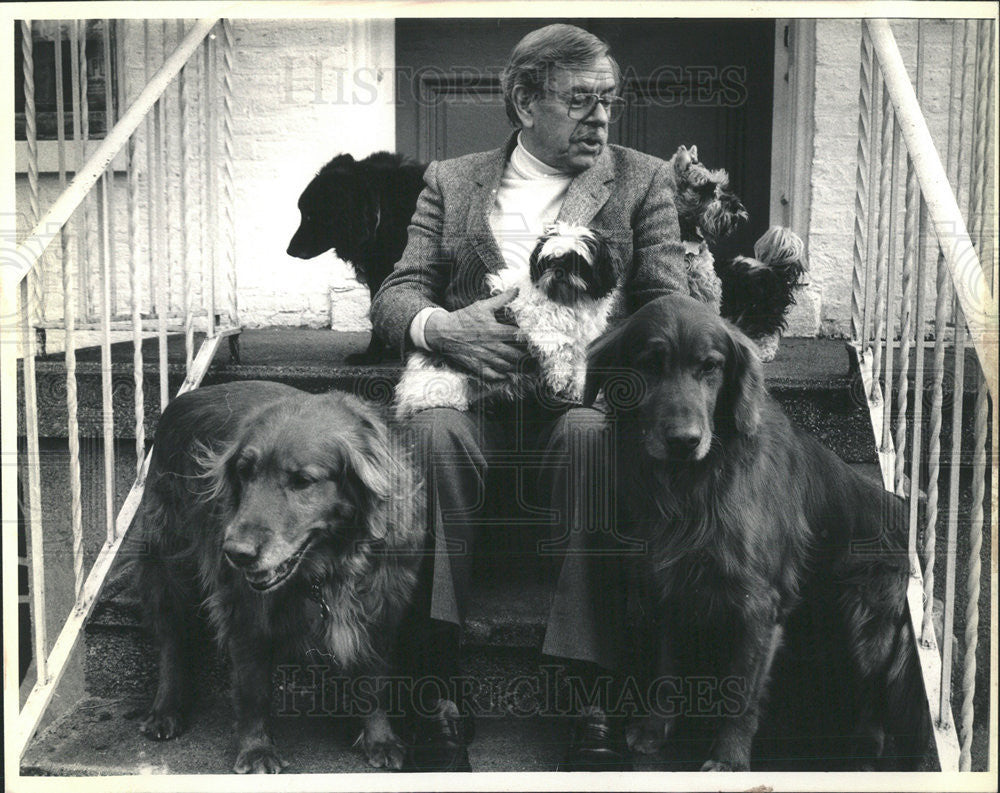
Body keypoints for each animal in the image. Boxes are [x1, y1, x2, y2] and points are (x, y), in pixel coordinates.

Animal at [584, 294, 928, 772]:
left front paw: (728, 760)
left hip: (865, 608)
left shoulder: (758, 603)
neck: (692, 486)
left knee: (875, 705)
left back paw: (859, 756)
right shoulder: (670, 584)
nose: (684, 441)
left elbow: (741, 691)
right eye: (649, 365)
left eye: (711, 367)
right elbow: (667, 665)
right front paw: (656, 727)